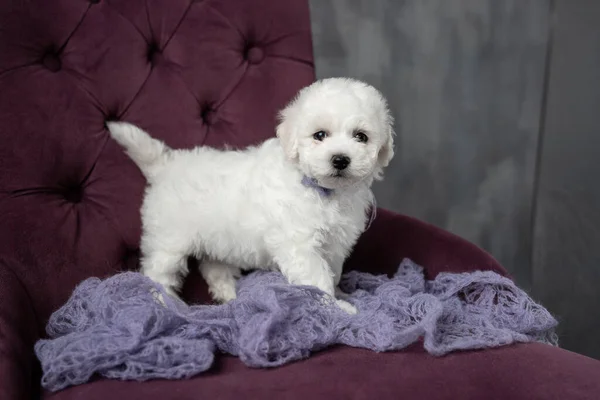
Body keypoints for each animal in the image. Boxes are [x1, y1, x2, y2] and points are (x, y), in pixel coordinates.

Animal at [109, 76, 394, 314]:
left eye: (361, 137)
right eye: (320, 135)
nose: (340, 159)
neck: (322, 190)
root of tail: (165, 166)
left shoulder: (334, 245)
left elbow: (332, 272)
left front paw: (338, 294)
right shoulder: (299, 244)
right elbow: (317, 277)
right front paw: (335, 307)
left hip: (216, 239)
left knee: (213, 268)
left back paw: (230, 296)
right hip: (169, 239)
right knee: (158, 273)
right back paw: (162, 302)